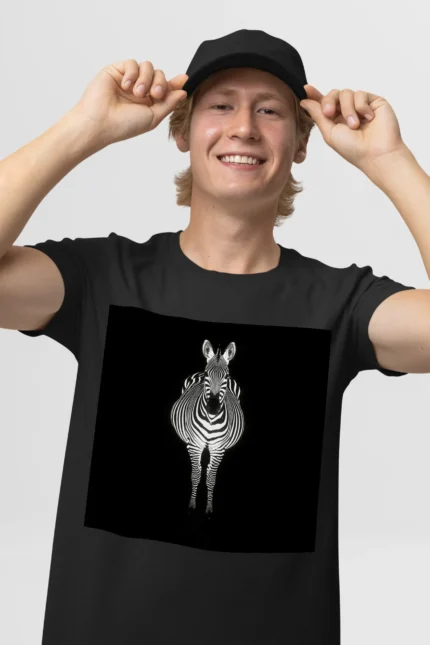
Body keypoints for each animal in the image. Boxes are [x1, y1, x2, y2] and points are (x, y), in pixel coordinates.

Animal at [170, 339, 245, 515]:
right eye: (207, 375)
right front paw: (192, 504)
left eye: (226, 376)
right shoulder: (195, 445)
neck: (211, 420)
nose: (212, 408)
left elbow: (211, 478)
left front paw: (209, 507)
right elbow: (196, 474)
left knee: (209, 469)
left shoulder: (218, 449)